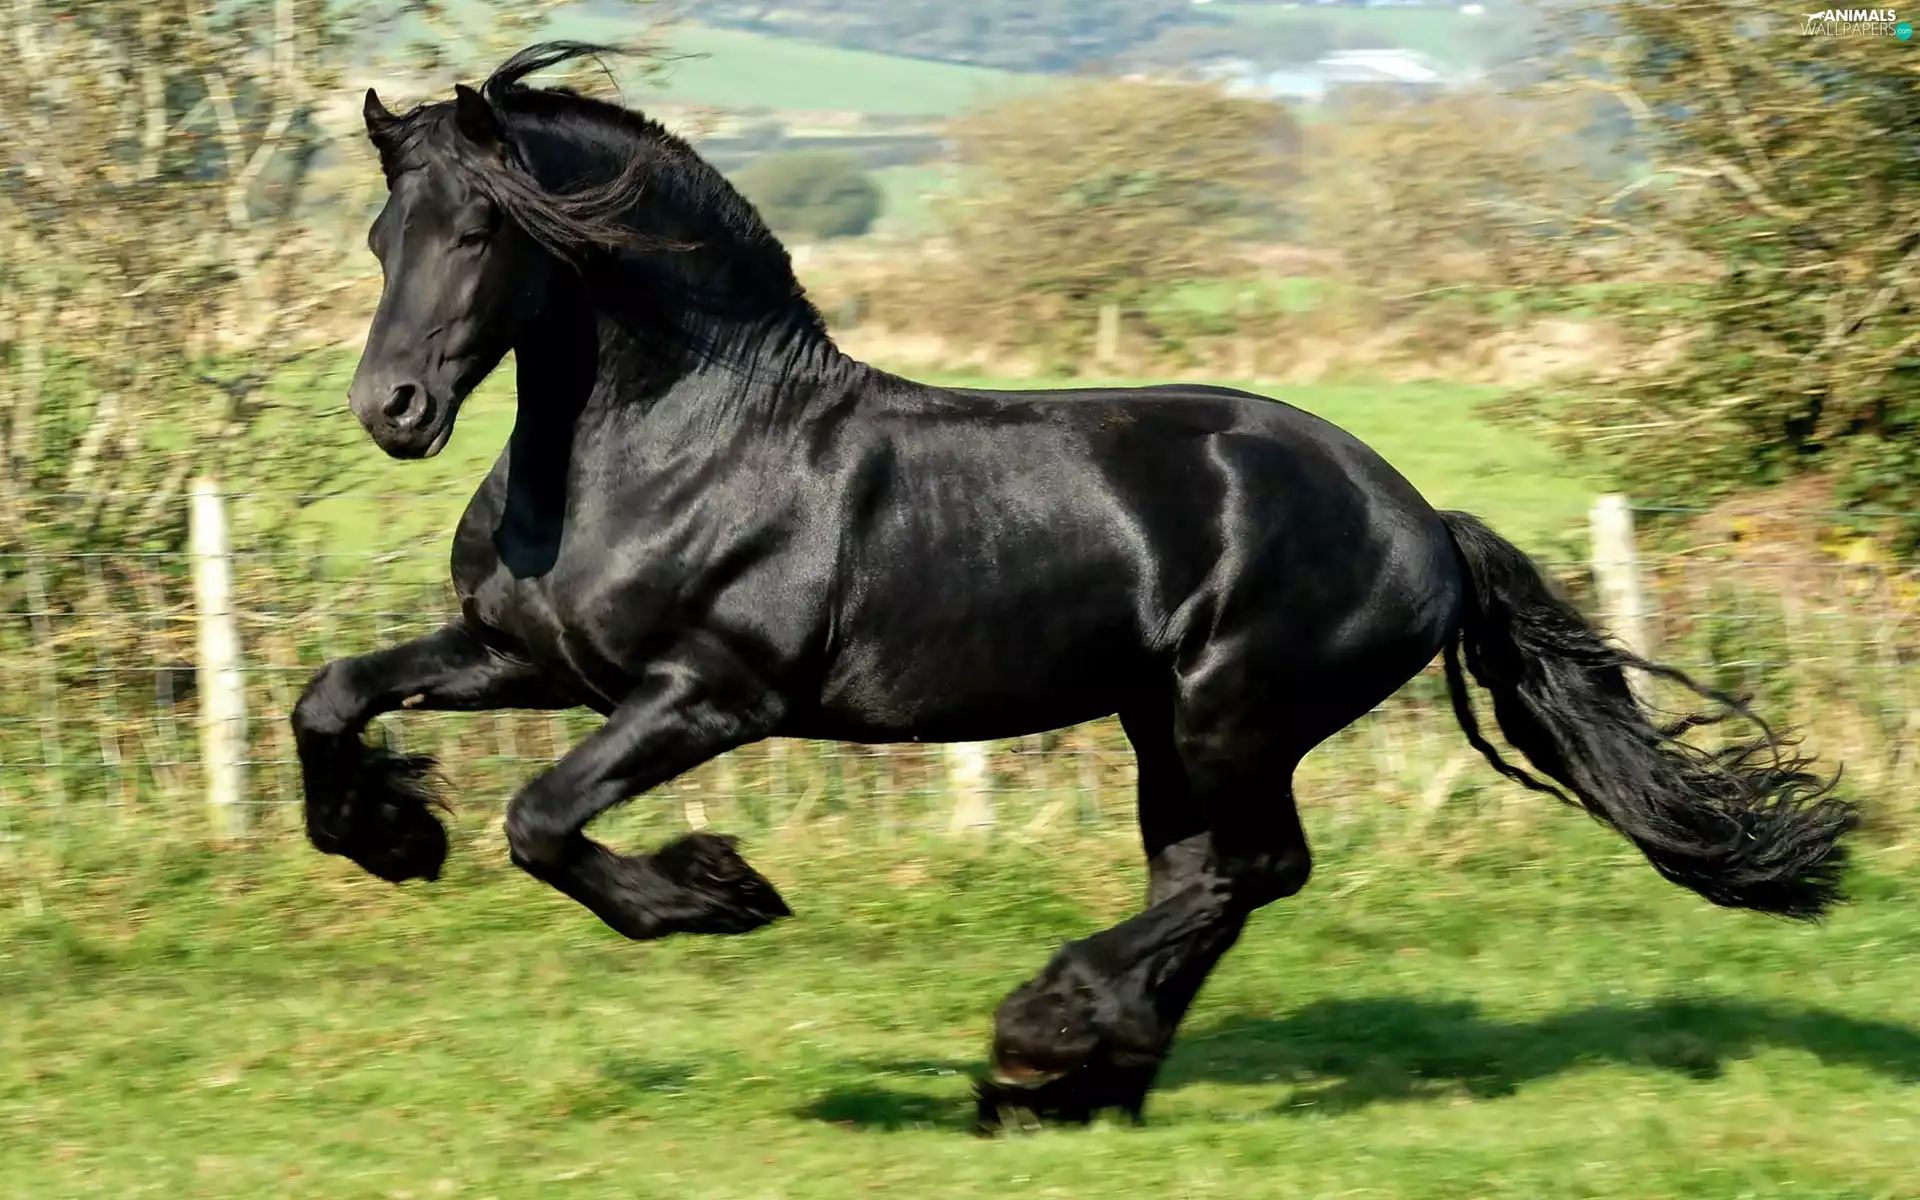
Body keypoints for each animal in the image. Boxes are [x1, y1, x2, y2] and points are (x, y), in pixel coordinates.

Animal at [292, 41, 1859, 1131]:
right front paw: (388, 837)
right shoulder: (532, 658)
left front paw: (720, 895)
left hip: (1235, 710)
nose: (394, 411)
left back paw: (1043, 1039)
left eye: (483, 234)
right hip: (1163, 722)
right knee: (1209, 878)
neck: (676, 440)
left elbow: (544, 820)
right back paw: (1077, 1082)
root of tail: (1421, 515)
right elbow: (333, 698)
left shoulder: (710, 696)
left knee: (1246, 870)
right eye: (378, 237)